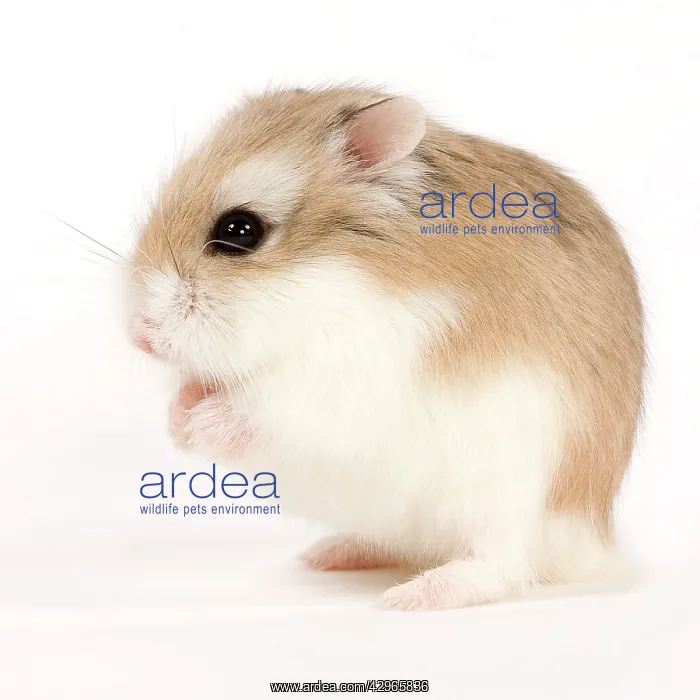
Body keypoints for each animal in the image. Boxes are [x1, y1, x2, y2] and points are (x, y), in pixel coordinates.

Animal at [127, 86, 644, 611]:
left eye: (240, 230)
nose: (139, 336)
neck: (330, 285)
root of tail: (591, 539)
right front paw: (179, 418)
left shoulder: (357, 372)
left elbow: (268, 408)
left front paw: (201, 423)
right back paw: (327, 554)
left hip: (505, 498)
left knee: (496, 566)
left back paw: (410, 598)